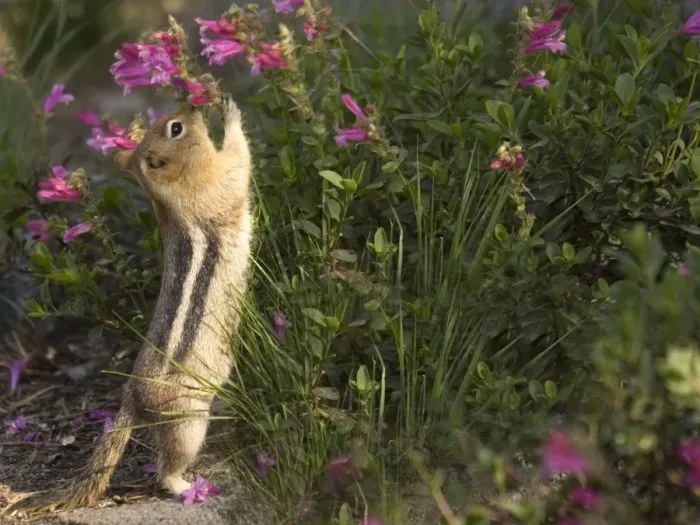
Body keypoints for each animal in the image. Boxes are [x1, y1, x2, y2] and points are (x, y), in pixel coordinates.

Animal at [5, 95, 252, 515]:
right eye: (175, 128)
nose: (193, 104)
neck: (168, 190)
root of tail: (132, 397)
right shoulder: (218, 183)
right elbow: (240, 159)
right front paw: (229, 110)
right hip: (188, 420)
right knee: (167, 467)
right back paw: (186, 487)